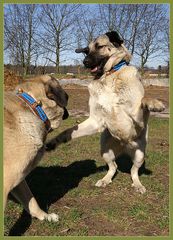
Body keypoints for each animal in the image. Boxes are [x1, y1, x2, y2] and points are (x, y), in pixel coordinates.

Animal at [46, 31, 165, 194]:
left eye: (99, 46)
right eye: (86, 51)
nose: (85, 62)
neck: (109, 76)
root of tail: (124, 145)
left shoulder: (138, 119)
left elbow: (143, 101)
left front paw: (155, 103)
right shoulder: (95, 120)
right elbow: (68, 131)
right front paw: (54, 141)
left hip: (140, 154)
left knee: (133, 171)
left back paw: (137, 185)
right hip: (104, 150)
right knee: (113, 167)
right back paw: (105, 180)